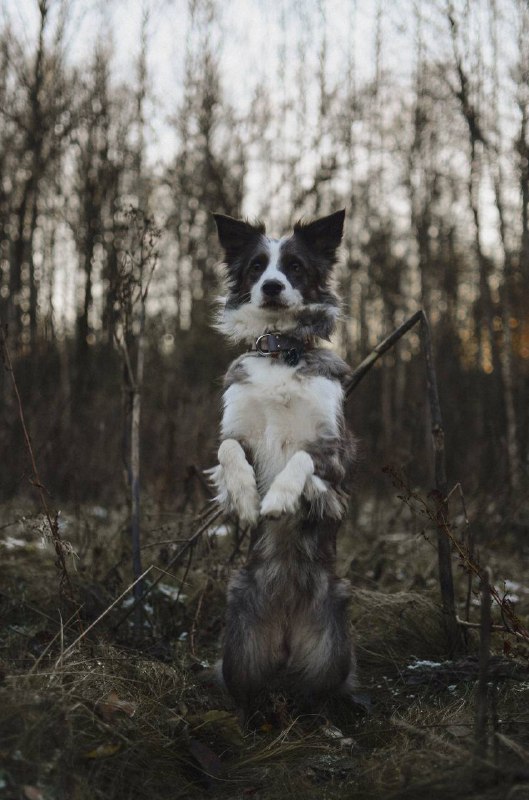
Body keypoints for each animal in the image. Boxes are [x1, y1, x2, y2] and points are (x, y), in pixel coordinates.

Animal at [208, 208, 356, 720]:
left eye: (293, 266)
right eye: (257, 266)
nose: (271, 286)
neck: (280, 352)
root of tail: (287, 632)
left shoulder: (335, 453)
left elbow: (301, 459)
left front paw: (276, 500)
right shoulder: (236, 430)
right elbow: (228, 451)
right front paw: (246, 499)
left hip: (333, 651)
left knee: (323, 698)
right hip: (239, 650)